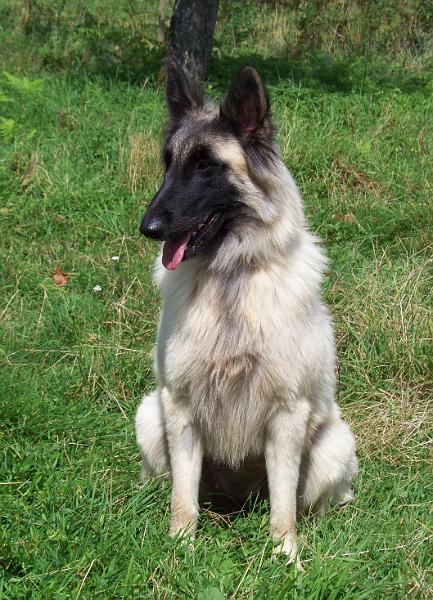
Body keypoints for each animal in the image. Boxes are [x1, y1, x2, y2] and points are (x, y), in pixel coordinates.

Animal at [136, 63, 358, 564]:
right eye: (168, 163)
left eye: (206, 166)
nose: (148, 228)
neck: (230, 277)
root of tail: (238, 499)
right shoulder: (179, 406)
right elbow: (183, 497)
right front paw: (181, 546)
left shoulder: (287, 415)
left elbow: (283, 504)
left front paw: (285, 554)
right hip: (149, 418)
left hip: (331, 446)